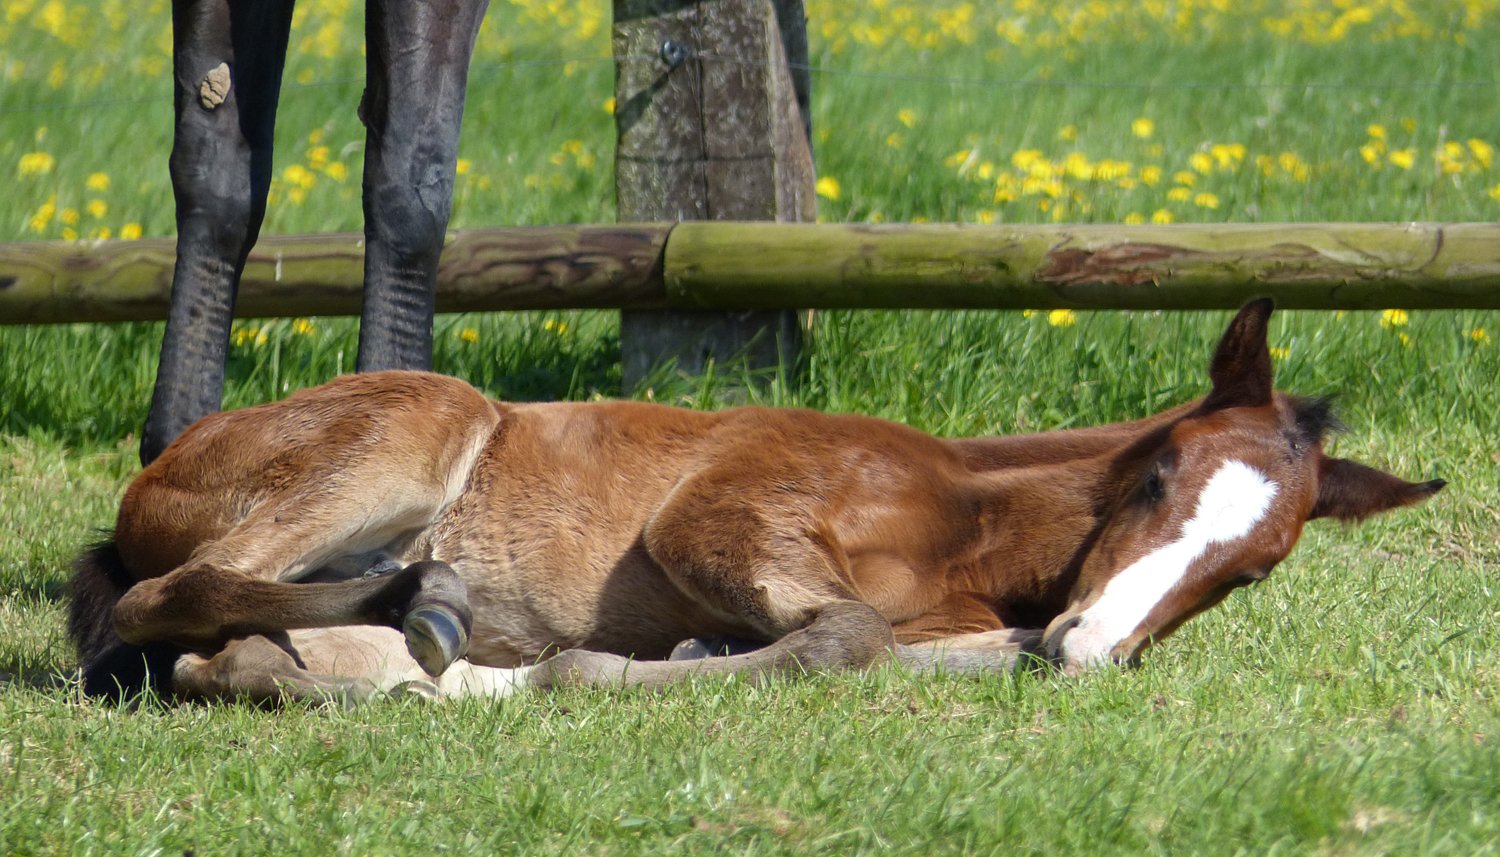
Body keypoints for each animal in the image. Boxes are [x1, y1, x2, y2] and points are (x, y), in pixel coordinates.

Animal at [70, 300, 1444, 704]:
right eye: (1158, 475)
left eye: (1256, 565)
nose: (1095, 641)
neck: (955, 522)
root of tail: (152, 477)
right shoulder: (719, 516)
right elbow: (846, 631)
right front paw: (620, 663)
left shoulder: (986, 628)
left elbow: (928, 645)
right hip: (419, 424)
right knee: (160, 598)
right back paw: (429, 596)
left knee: (228, 652)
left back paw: (434, 653)